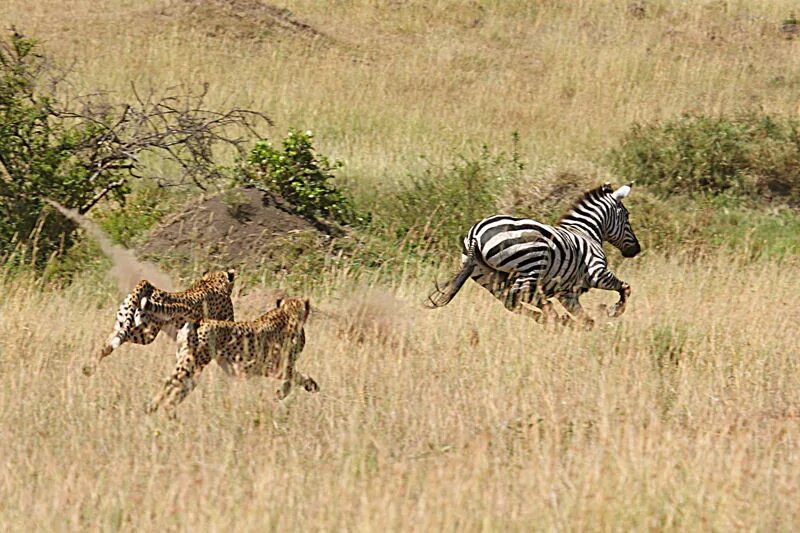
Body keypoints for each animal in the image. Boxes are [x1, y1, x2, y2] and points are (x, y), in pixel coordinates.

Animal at [87, 266, 238, 374]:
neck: (213, 281)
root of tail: (149, 285)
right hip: (146, 333)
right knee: (117, 340)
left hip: (123, 321)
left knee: (109, 341)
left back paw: (89, 366)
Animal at [142, 296, 318, 412]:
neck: (288, 313)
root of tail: (202, 319)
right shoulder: (271, 366)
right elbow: (291, 378)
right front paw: (283, 393)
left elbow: (295, 376)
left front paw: (309, 385)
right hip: (191, 364)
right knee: (170, 381)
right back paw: (154, 406)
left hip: (191, 365)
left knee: (181, 386)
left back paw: (166, 409)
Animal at [428, 181, 640, 326]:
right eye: (627, 216)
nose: (636, 249)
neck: (585, 232)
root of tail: (475, 233)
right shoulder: (597, 273)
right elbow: (625, 288)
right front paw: (613, 310)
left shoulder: (568, 292)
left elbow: (586, 319)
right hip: (530, 265)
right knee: (516, 297)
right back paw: (551, 316)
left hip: (488, 277)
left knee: (512, 301)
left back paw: (551, 317)